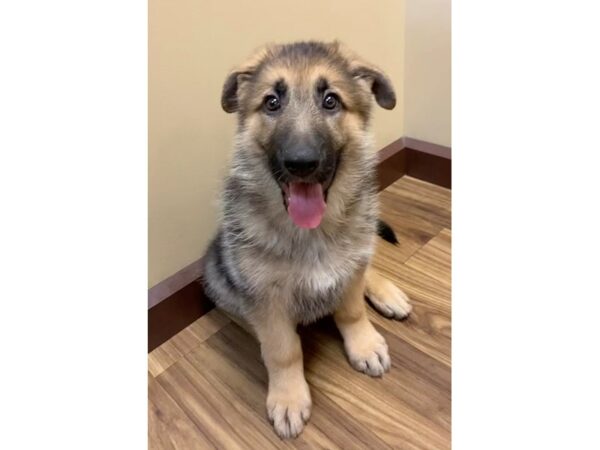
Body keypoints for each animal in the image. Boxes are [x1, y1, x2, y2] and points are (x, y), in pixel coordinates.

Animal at [205, 42, 412, 440]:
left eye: (331, 101)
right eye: (272, 103)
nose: (301, 163)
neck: (310, 232)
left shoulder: (348, 272)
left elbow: (351, 311)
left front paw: (363, 343)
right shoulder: (265, 299)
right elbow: (283, 349)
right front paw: (289, 397)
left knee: (366, 261)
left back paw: (387, 292)